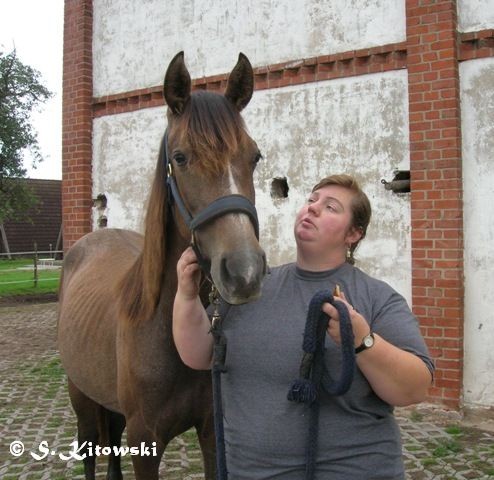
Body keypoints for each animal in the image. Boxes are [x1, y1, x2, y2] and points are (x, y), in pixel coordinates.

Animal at [57, 50, 266, 478]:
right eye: (180, 157)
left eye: (254, 156)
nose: (245, 272)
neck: (162, 325)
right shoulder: (146, 440)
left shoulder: (210, 432)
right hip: (80, 396)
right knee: (90, 452)